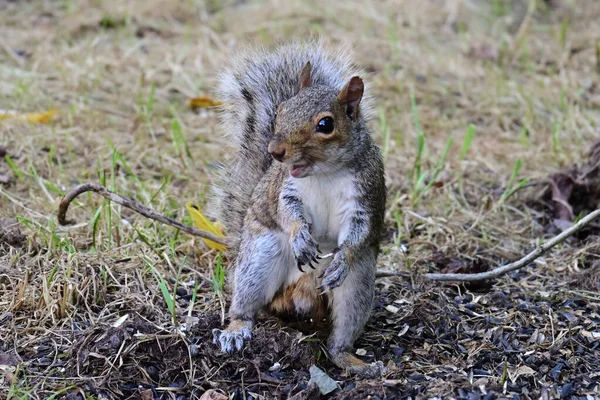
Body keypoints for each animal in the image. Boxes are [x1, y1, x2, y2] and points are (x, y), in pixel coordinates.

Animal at [206, 41, 386, 378]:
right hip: (259, 259)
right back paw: (236, 330)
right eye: (281, 111)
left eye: (325, 124)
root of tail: (301, 293)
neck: (325, 172)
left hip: (359, 282)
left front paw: (341, 258)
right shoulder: (286, 190)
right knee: (246, 306)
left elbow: (359, 232)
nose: (275, 151)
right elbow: (288, 214)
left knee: (340, 335)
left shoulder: (365, 196)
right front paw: (300, 237)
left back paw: (353, 361)